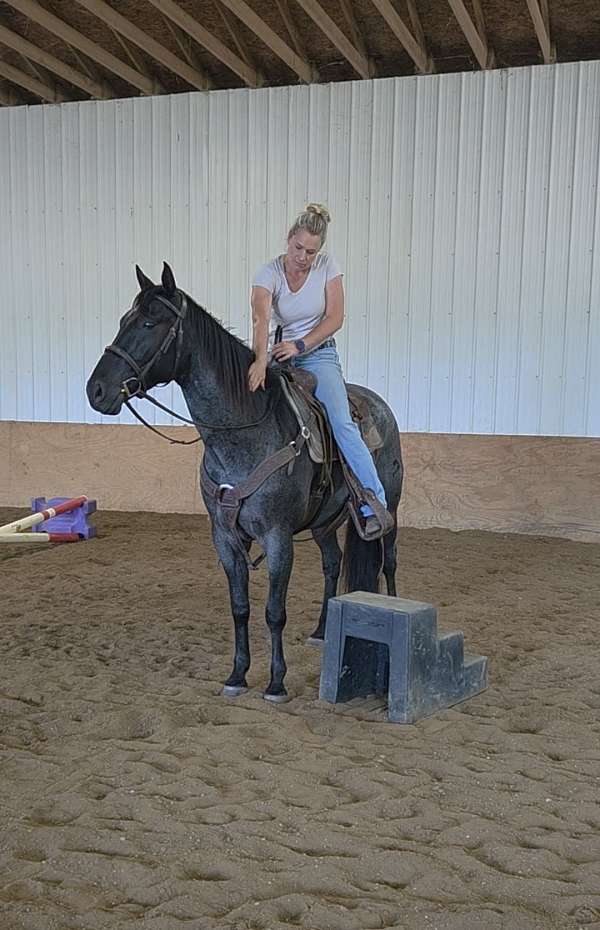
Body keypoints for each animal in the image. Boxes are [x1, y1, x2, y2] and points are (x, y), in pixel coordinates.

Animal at [86, 262, 403, 702]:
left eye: (150, 322)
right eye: (123, 321)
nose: (96, 390)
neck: (246, 429)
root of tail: (380, 406)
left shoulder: (277, 537)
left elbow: (273, 612)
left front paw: (276, 682)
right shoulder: (224, 537)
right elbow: (240, 609)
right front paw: (237, 674)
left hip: (390, 508)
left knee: (388, 563)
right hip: (324, 523)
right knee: (332, 562)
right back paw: (322, 631)